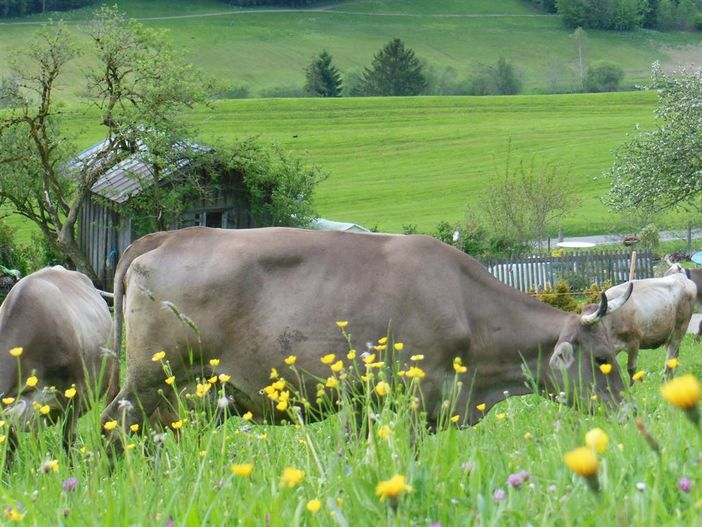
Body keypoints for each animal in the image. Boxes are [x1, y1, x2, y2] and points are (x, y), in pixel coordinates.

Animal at [102, 229, 636, 440]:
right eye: (603, 359)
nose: (630, 414)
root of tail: (168, 236)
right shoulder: (420, 395)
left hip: (179, 395)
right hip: (150, 379)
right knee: (113, 424)